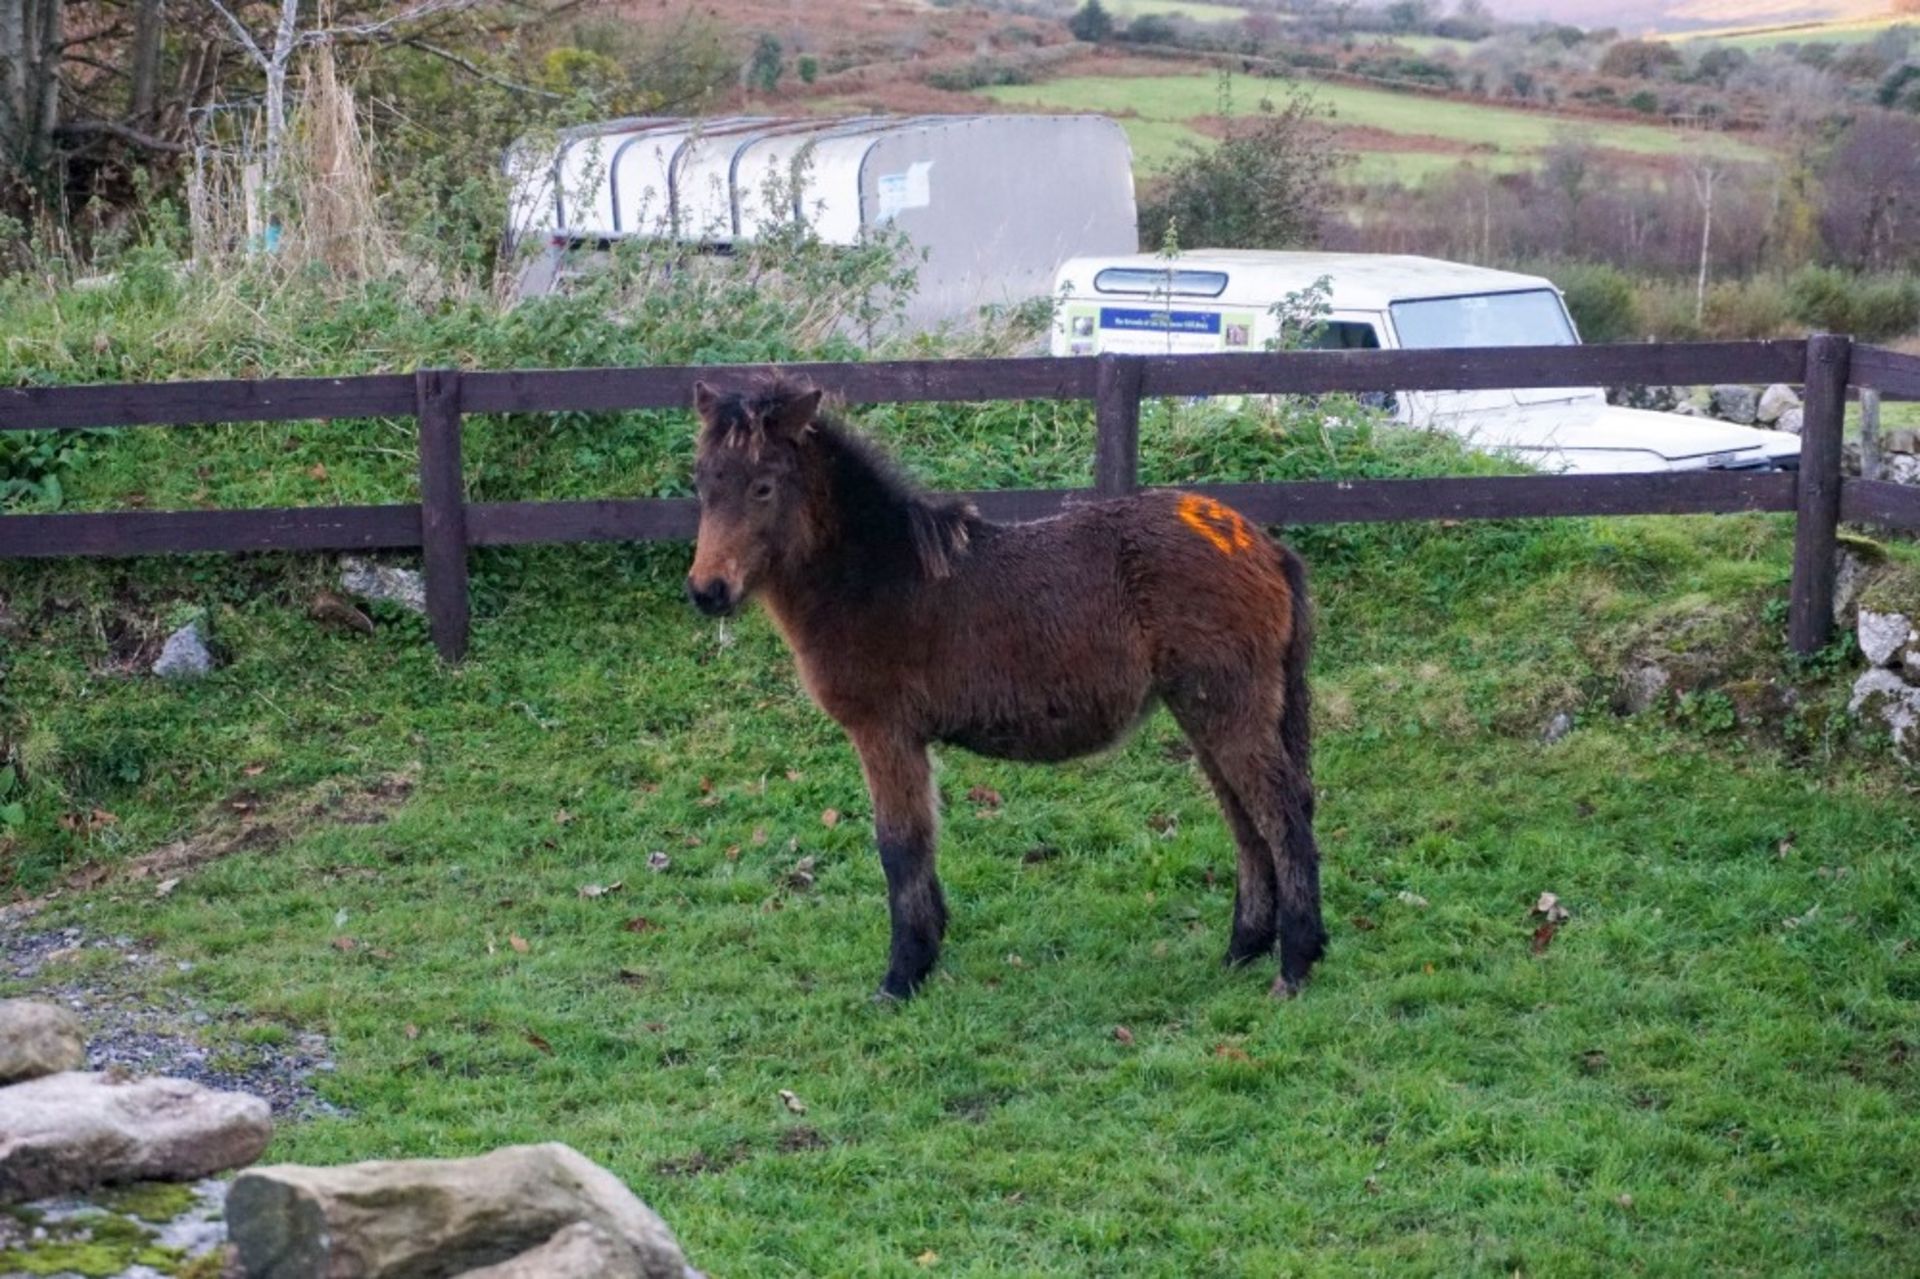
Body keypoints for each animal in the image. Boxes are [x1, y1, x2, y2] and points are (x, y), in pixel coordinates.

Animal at [683, 374, 1328, 998]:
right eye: (702, 483)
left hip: (1227, 707)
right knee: (1246, 818)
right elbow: (922, 841)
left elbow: (899, 845)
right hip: (1205, 711)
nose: (708, 591)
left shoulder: (884, 732)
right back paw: (1244, 949)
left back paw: (1295, 964)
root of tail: (1262, 543)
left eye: (764, 487)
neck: (877, 575)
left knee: (1282, 813)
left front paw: (900, 977)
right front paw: (927, 954)